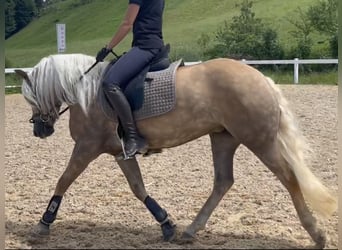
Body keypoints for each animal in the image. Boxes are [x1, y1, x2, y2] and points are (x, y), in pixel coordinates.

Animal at [16, 53, 336, 247]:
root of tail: (261, 78)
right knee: (223, 181)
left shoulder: (87, 147)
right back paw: (190, 231)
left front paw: (43, 224)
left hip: (258, 139)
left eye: (30, 97)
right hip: (224, 138)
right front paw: (166, 224)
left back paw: (317, 233)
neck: (86, 92)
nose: (39, 130)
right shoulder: (120, 152)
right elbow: (138, 188)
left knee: (289, 178)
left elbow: (63, 180)